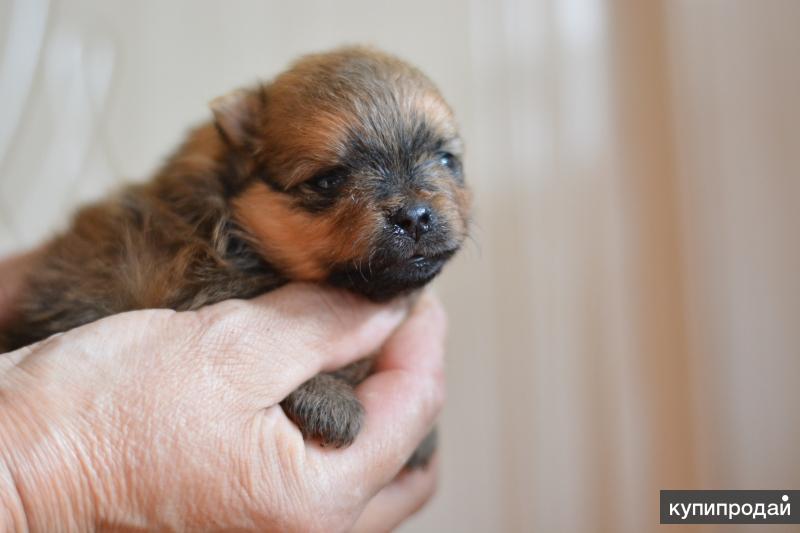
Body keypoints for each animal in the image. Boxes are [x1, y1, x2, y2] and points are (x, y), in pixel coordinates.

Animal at [0, 44, 468, 462]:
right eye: (327, 180)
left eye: (447, 161)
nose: (414, 216)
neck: (230, 223)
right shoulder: (199, 282)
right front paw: (326, 396)